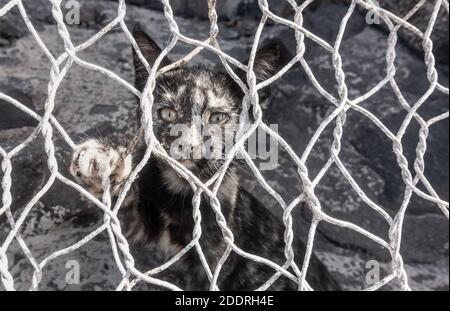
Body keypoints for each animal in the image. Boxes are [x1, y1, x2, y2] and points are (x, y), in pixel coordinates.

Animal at [69, 29, 338, 292]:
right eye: (168, 113)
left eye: (218, 118)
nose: (188, 145)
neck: (183, 193)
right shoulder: (139, 225)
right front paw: (101, 160)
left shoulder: (215, 255)